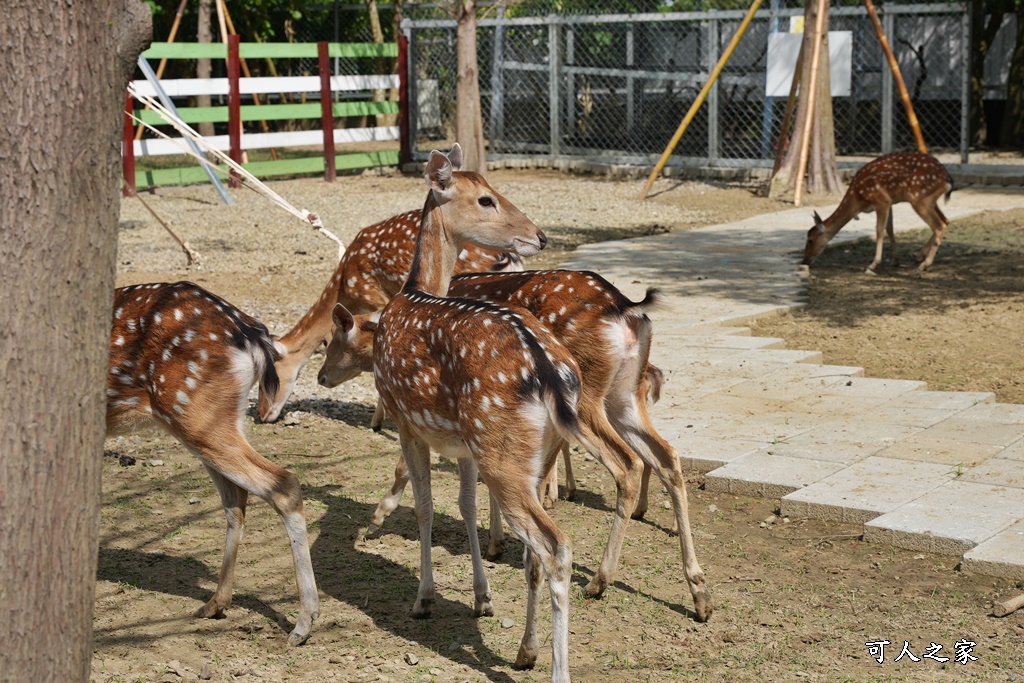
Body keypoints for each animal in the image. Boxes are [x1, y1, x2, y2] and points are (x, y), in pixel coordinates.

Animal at [106, 282, 317, 647]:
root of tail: (252, 334)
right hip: (218, 417)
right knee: (236, 500)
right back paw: (216, 603)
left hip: (195, 412)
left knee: (282, 483)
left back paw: (303, 623)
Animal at [256, 208, 520, 423]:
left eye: (270, 377)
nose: (262, 415)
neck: (345, 284)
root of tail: (508, 257)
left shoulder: (376, 298)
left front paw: (379, 420)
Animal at [319, 270, 712, 618]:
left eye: (330, 340)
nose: (321, 376)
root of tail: (628, 307)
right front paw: (496, 543)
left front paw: (377, 518)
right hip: (623, 394)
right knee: (667, 455)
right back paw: (699, 594)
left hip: (588, 397)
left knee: (628, 463)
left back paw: (599, 580)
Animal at [802, 150, 954, 274]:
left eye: (810, 240)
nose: (804, 261)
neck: (858, 198)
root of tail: (947, 179)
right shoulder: (890, 202)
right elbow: (890, 228)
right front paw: (895, 260)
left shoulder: (881, 200)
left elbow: (879, 230)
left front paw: (873, 265)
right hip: (929, 200)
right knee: (945, 220)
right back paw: (919, 255)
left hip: (919, 198)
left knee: (939, 225)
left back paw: (924, 264)